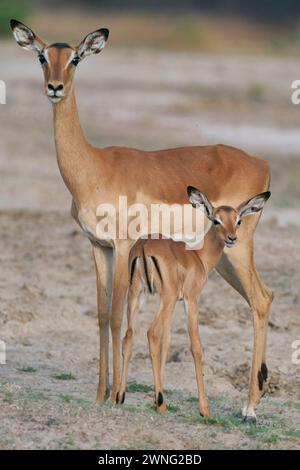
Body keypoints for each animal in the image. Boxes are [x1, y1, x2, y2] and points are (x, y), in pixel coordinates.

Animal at [116, 186, 270, 418]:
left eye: (238, 220)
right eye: (216, 220)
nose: (232, 238)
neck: (198, 257)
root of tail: (144, 246)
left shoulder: (174, 301)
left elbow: (167, 343)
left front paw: (156, 400)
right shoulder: (191, 299)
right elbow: (196, 347)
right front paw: (204, 409)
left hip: (137, 295)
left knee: (129, 335)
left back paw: (120, 398)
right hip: (167, 298)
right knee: (152, 333)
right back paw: (160, 404)